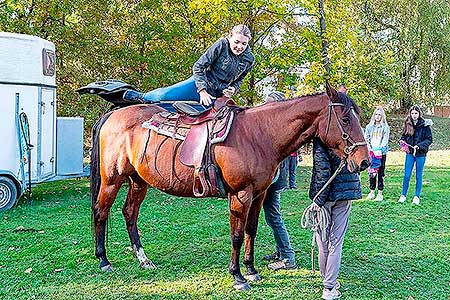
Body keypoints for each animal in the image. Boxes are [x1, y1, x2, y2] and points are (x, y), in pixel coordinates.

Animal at [90, 84, 370, 290]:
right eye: (346, 118)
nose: (364, 161)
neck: (260, 135)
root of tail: (111, 115)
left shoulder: (259, 194)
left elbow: (251, 231)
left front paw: (251, 270)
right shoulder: (240, 195)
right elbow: (236, 235)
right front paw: (237, 276)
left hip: (139, 182)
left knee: (129, 213)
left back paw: (143, 259)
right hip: (112, 179)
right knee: (100, 212)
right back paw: (103, 259)